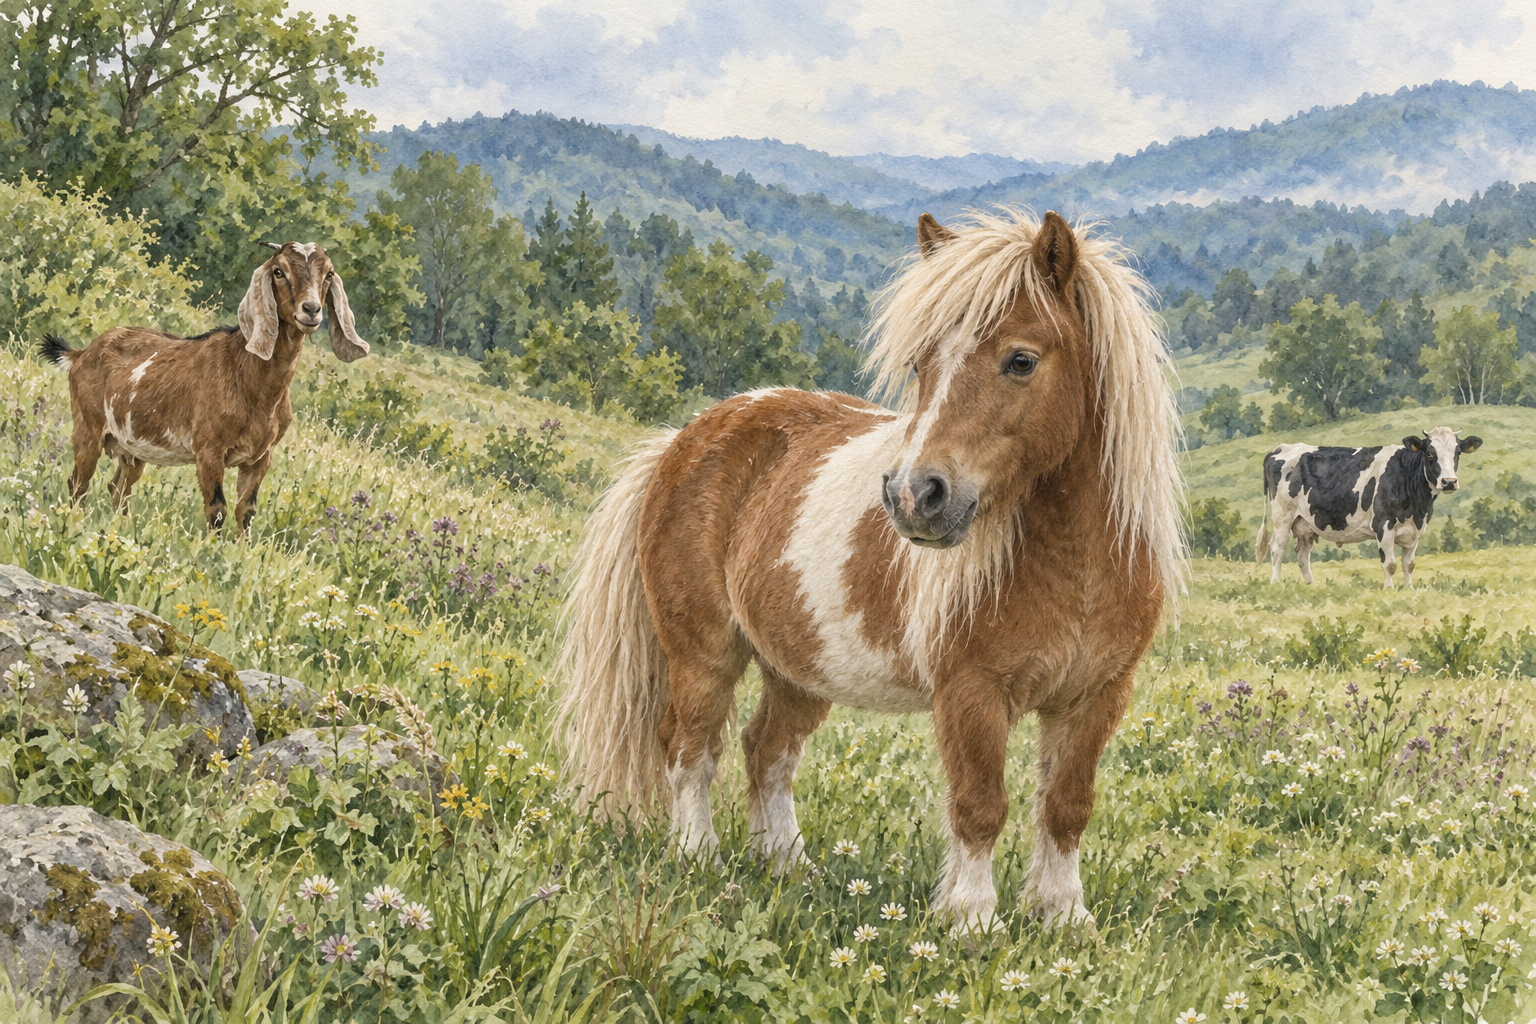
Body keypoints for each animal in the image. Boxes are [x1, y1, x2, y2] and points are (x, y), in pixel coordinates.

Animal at [558, 208, 1185, 933]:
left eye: (1021, 360)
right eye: (920, 363)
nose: (914, 496)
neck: (1076, 566)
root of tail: (682, 440)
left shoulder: (1097, 695)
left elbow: (1066, 806)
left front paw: (1064, 918)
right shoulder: (970, 692)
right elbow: (979, 804)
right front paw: (973, 921)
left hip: (799, 667)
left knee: (767, 750)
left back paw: (788, 868)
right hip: (703, 653)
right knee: (691, 746)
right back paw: (698, 858)